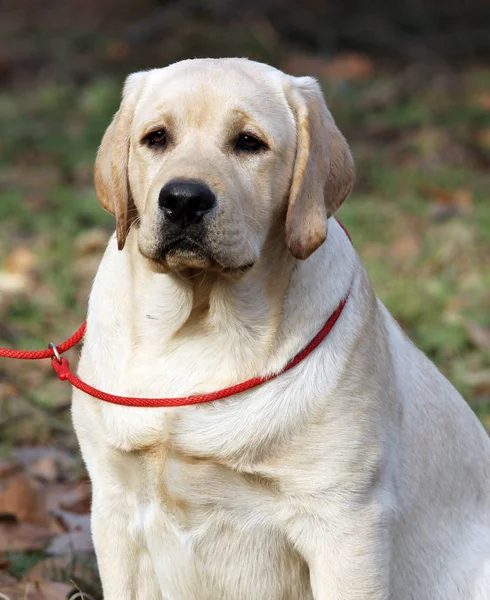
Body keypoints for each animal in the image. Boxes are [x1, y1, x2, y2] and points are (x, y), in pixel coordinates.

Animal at [72, 57, 490, 600]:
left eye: (249, 142)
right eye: (156, 138)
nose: (183, 199)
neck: (200, 325)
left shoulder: (346, 523)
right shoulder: (115, 508)